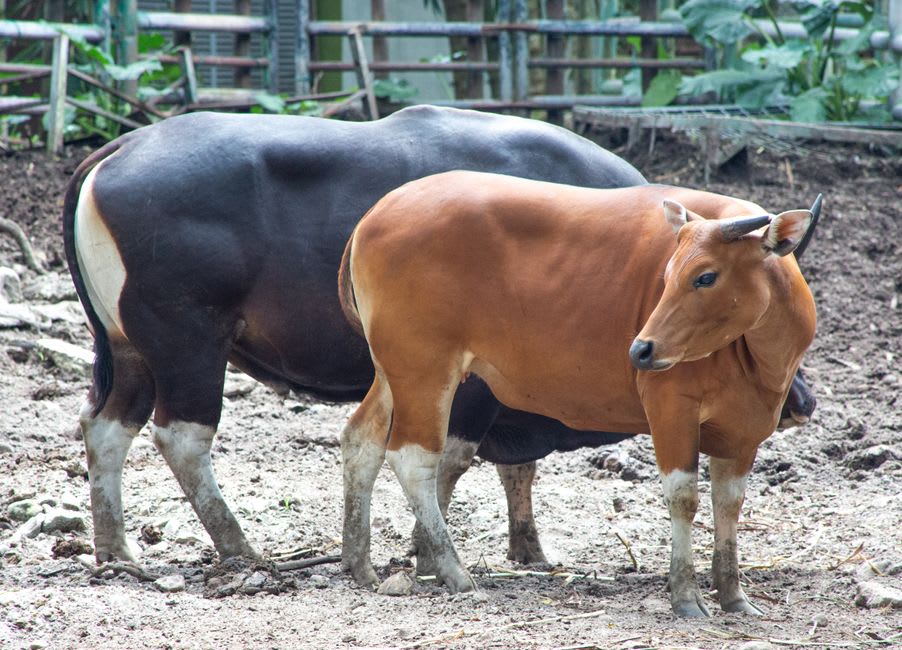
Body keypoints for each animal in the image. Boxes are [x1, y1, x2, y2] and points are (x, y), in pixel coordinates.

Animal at [338, 171, 818, 617]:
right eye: (667, 276)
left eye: (705, 277)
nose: (641, 350)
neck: (754, 352)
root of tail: (375, 213)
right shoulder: (670, 408)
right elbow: (684, 497)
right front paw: (685, 595)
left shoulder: (745, 427)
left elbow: (729, 503)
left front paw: (734, 596)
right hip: (426, 368)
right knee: (414, 458)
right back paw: (453, 571)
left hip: (394, 368)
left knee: (361, 439)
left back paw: (359, 563)